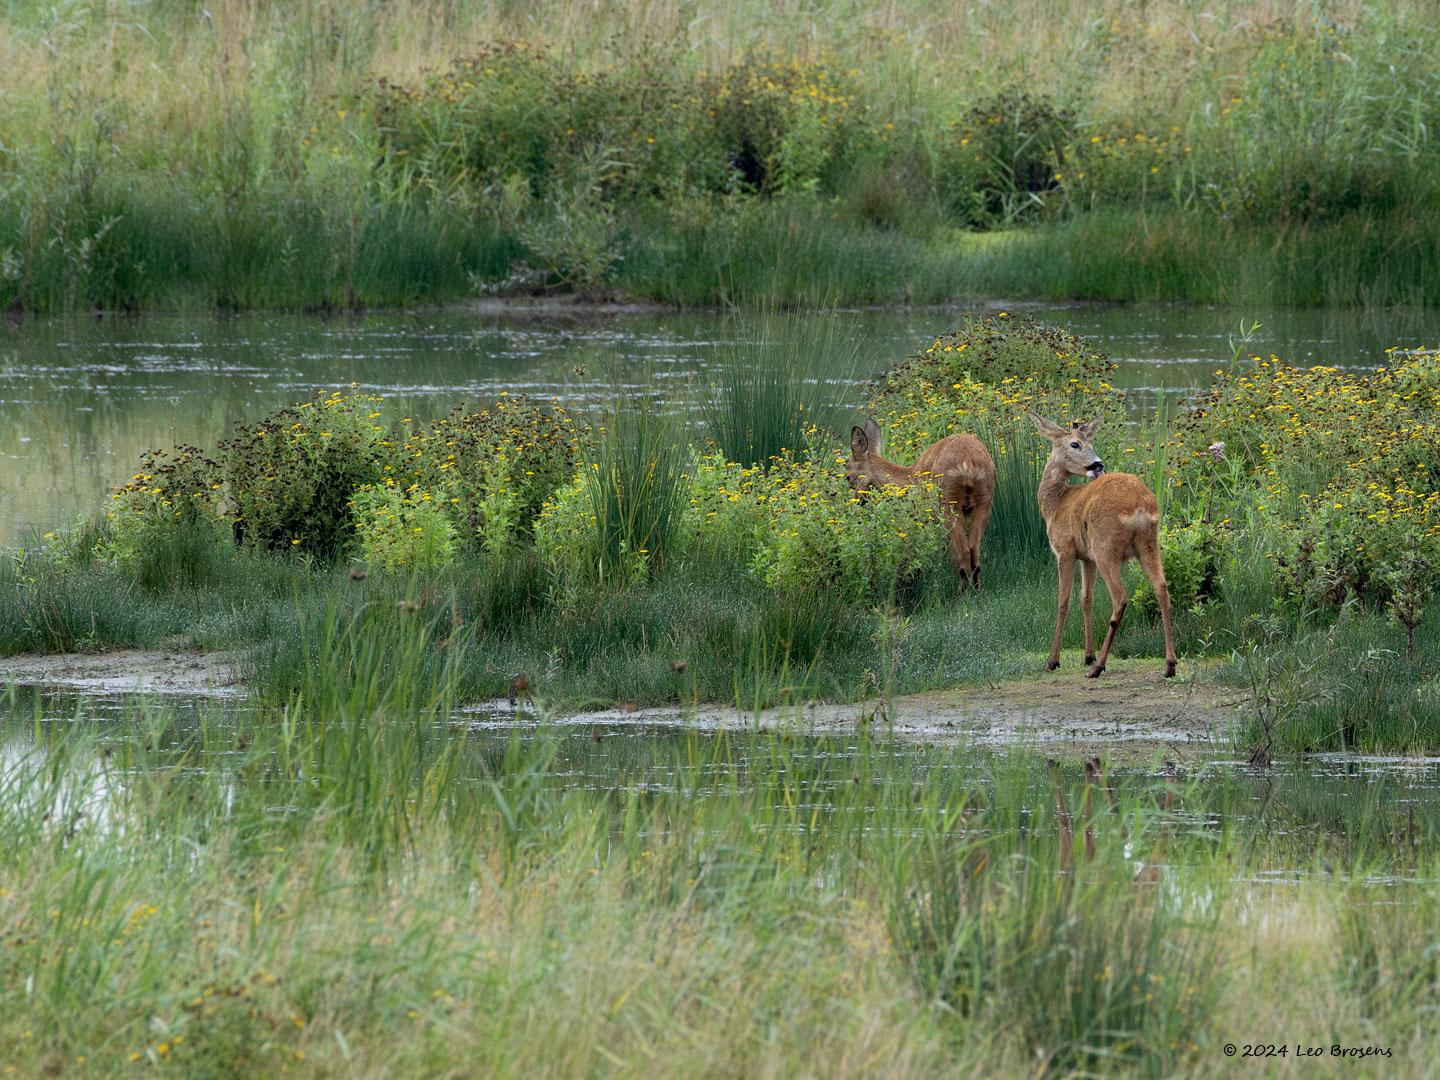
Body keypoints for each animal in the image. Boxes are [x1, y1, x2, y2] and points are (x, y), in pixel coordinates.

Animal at [846, 417, 996, 593]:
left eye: (848, 476)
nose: (856, 503)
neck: (909, 478)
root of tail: (969, 464)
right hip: (984, 500)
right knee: (974, 550)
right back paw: (977, 590)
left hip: (947, 502)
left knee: (964, 551)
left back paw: (961, 593)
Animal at [1031, 411, 1175, 676]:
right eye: (1075, 444)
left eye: (1090, 443)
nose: (1097, 464)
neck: (1055, 506)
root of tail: (1140, 506)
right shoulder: (1086, 557)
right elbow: (1086, 599)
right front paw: (1087, 655)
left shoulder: (1065, 549)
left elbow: (1063, 601)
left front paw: (1053, 660)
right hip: (1148, 544)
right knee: (1162, 587)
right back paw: (1169, 665)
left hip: (1105, 547)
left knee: (1120, 597)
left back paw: (1099, 667)